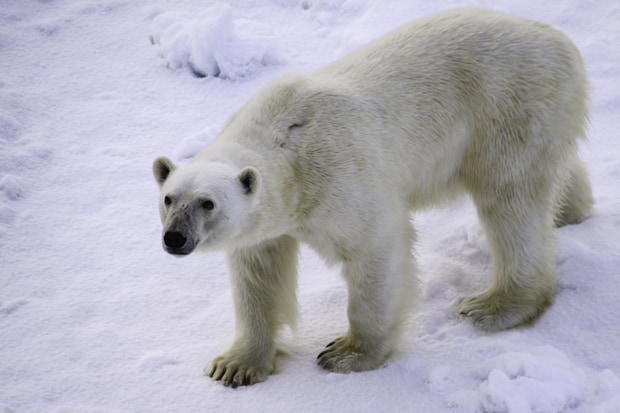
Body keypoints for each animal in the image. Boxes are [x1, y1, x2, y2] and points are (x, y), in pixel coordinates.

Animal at [153, 7, 592, 386]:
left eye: (208, 203)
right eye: (169, 199)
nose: (175, 238)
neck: (286, 142)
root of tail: (560, 40)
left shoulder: (338, 177)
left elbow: (375, 249)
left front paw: (346, 353)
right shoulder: (269, 219)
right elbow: (258, 274)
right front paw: (234, 366)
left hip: (510, 105)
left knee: (510, 200)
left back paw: (493, 305)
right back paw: (570, 211)